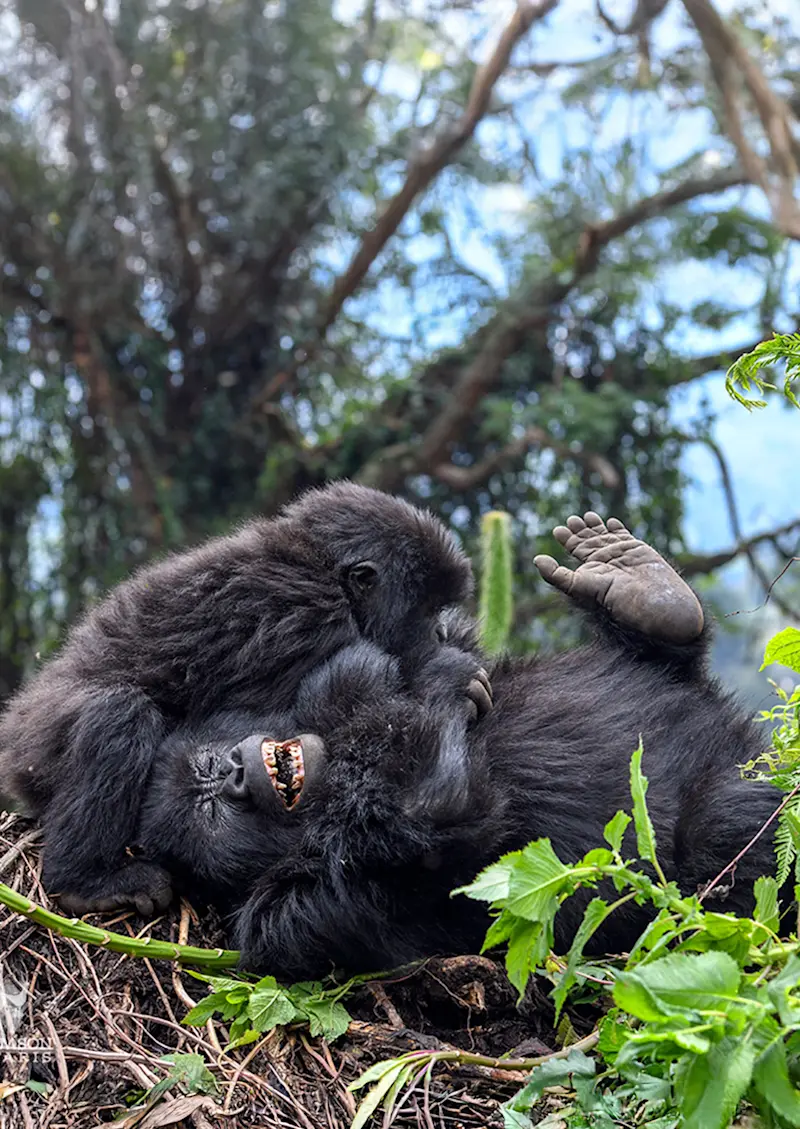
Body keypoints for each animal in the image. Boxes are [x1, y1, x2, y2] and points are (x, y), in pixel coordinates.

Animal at [0, 482, 484, 917]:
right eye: (427, 610)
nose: (439, 631)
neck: (319, 562)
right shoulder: (309, 617)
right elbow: (344, 692)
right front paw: (448, 673)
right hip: (41, 752)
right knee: (117, 717)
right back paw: (85, 883)